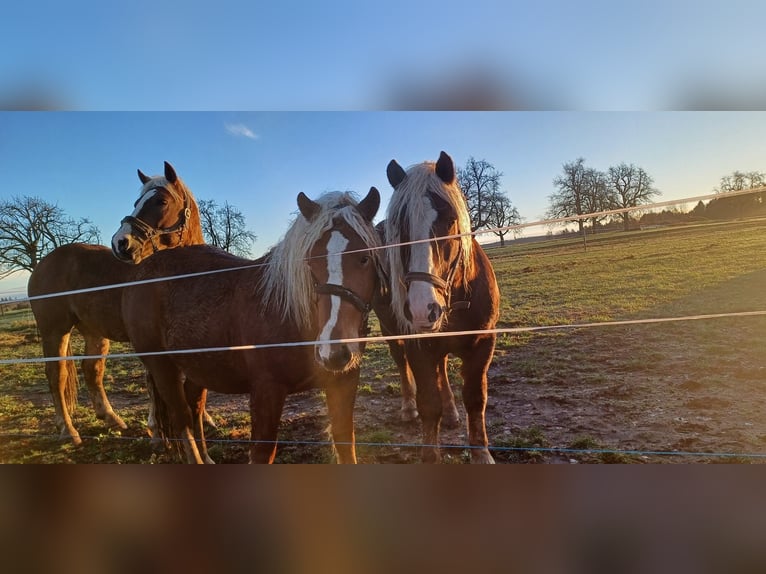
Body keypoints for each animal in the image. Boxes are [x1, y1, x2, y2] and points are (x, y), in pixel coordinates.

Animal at [27, 162, 205, 445]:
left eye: (161, 201)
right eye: (137, 201)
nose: (120, 242)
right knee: (56, 375)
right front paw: (157, 431)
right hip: (55, 330)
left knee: (92, 370)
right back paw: (68, 430)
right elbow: (153, 382)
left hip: (94, 332)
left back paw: (110, 418)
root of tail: (42, 264)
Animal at [120, 188, 381, 463]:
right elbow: (262, 453)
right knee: (181, 417)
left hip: (198, 366)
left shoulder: (343, 383)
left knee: (194, 407)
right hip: (161, 366)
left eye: (365, 258)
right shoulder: (266, 392)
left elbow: (346, 443)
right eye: (310, 262)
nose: (334, 353)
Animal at [374, 151, 500, 463]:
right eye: (400, 226)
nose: (422, 308)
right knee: (401, 364)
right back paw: (408, 407)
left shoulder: (483, 344)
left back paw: (452, 412)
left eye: (450, 220)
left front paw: (481, 453)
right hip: (391, 330)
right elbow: (429, 403)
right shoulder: (419, 346)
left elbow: (475, 398)